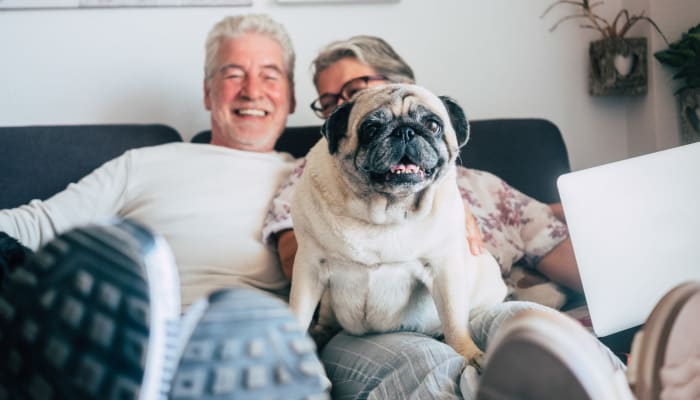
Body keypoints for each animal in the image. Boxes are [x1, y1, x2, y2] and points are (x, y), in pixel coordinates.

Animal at [288, 83, 506, 370]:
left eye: (433, 125)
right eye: (371, 129)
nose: (405, 131)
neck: (385, 212)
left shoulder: (444, 269)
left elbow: (454, 321)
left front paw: (468, 353)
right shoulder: (310, 266)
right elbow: (298, 311)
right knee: (324, 321)